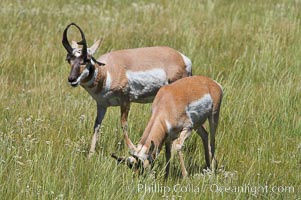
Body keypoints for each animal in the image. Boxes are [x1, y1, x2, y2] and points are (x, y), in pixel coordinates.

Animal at [61, 23, 191, 157]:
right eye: (69, 60)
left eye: (86, 59)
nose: (71, 79)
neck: (107, 72)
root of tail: (182, 58)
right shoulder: (102, 105)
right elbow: (97, 125)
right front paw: (90, 155)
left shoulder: (125, 101)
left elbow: (123, 125)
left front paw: (134, 149)